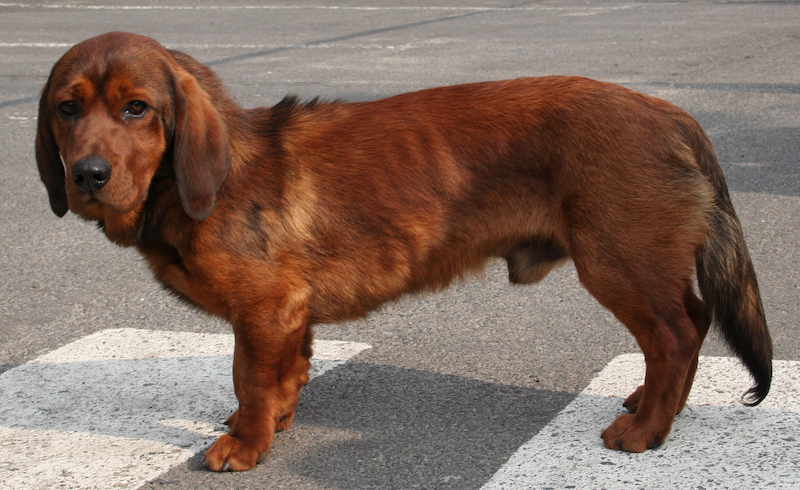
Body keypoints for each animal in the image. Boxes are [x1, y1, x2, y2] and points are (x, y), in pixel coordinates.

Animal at [34, 31, 772, 470]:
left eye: (136, 108)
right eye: (67, 108)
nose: (88, 176)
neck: (205, 180)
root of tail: (671, 113)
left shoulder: (265, 309)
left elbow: (248, 377)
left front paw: (245, 443)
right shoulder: (287, 318)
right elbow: (282, 376)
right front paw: (271, 420)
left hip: (618, 263)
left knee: (679, 333)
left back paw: (647, 430)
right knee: (677, 332)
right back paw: (649, 405)